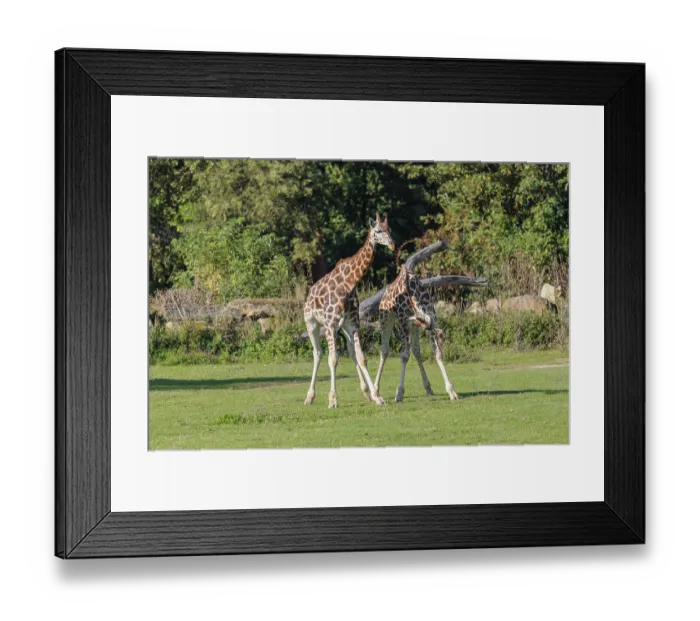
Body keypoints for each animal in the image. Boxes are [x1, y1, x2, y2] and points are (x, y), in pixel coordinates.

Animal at [304, 213, 395, 409]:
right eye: (378, 230)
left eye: (390, 229)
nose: (392, 244)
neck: (350, 282)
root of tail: (309, 294)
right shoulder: (330, 324)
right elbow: (333, 359)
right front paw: (333, 399)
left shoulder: (353, 323)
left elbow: (361, 357)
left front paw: (377, 396)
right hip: (312, 324)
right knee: (318, 353)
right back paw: (309, 397)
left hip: (343, 327)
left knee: (350, 350)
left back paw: (366, 391)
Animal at [374, 265, 459, 402]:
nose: (441, 334)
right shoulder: (403, 319)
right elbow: (404, 355)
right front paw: (399, 393)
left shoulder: (429, 314)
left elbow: (438, 353)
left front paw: (452, 391)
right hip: (386, 318)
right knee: (385, 350)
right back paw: (375, 392)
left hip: (411, 326)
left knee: (416, 350)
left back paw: (428, 388)